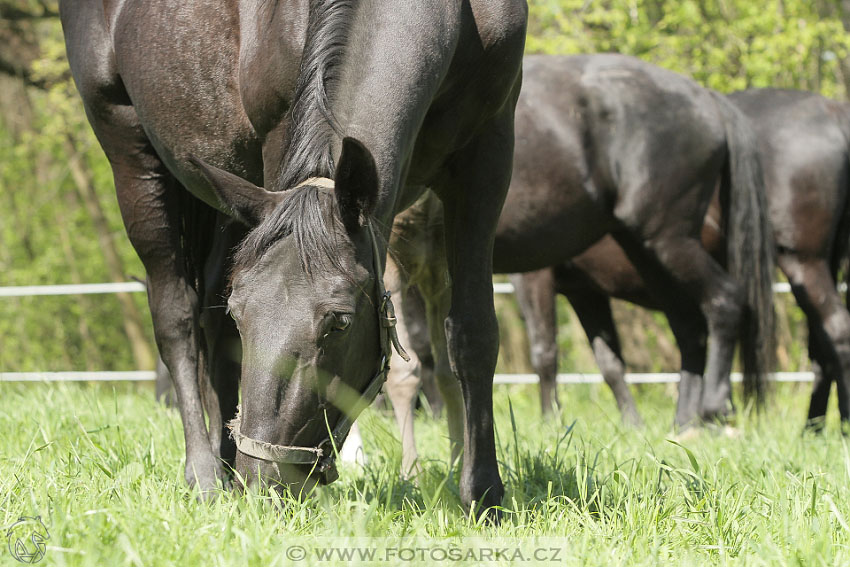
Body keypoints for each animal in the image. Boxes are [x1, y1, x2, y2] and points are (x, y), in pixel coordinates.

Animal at [61, 0, 524, 516]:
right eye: (245, 316)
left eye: (340, 322)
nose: (263, 483)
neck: (458, 19)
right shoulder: (278, 135)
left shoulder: (488, 153)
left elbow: (472, 333)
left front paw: (482, 495)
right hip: (133, 160)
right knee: (177, 321)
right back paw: (205, 476)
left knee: (211, 327)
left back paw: (224, 465)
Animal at [384, 52, 776, 470]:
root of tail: (706, 97)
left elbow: (540, 352)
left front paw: (547, 422)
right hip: (648, 251)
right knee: (689, 328)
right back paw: (684, 420)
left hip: (670, 238)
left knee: (724, 301)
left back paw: (713, 408)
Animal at [512, 87, 844, 430]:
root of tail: (832, 111)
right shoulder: (584, 290)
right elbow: (610, 361)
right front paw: (633, 424)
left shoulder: (533, 276)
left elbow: (545, 353)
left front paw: (550, 423)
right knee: (823, 350)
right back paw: (815, 428)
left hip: (801, 261)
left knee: (835, 331)